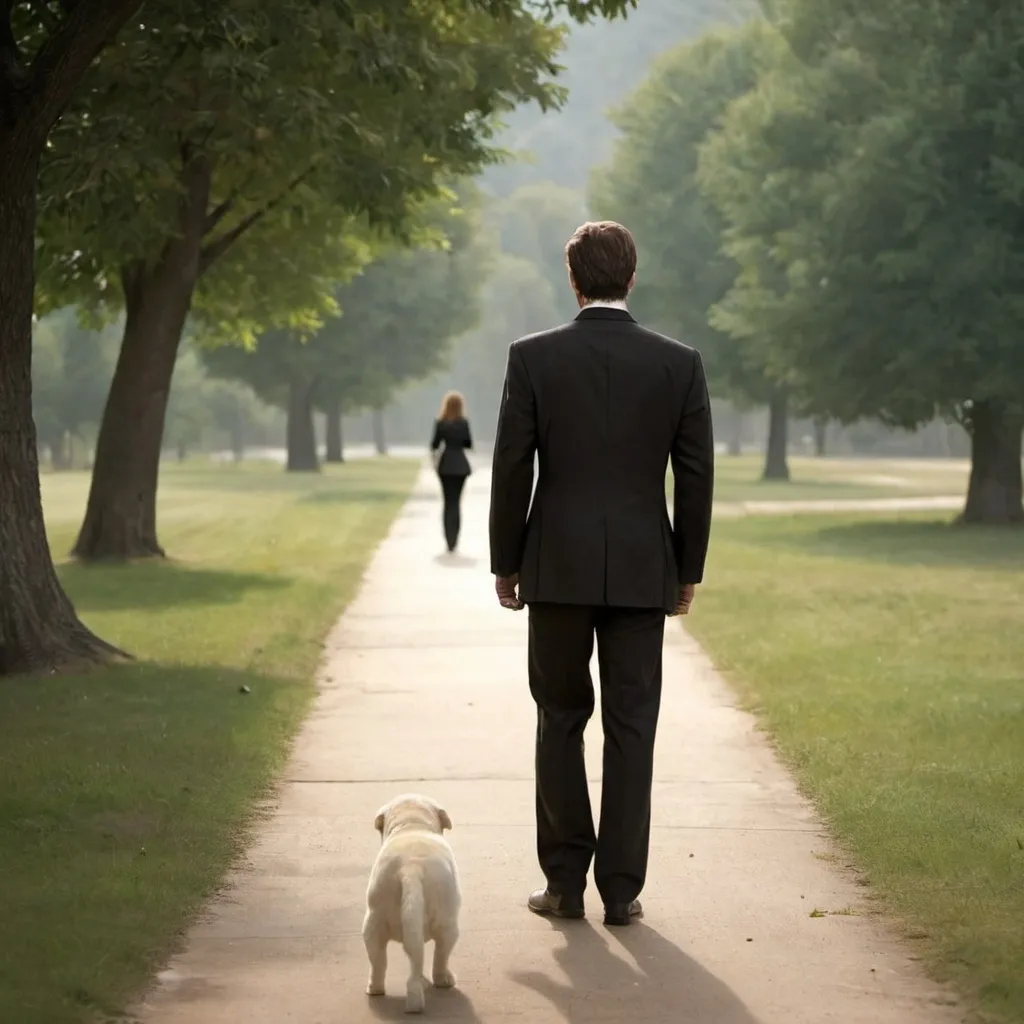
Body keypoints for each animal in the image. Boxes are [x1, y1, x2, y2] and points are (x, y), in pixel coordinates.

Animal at [362, 794, 462, 1011]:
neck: (413, 824)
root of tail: (410, 868)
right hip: (448, 924)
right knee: (440, 956)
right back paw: (441, 981)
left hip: (374, 922)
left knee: (379, 962)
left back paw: (375, 988)